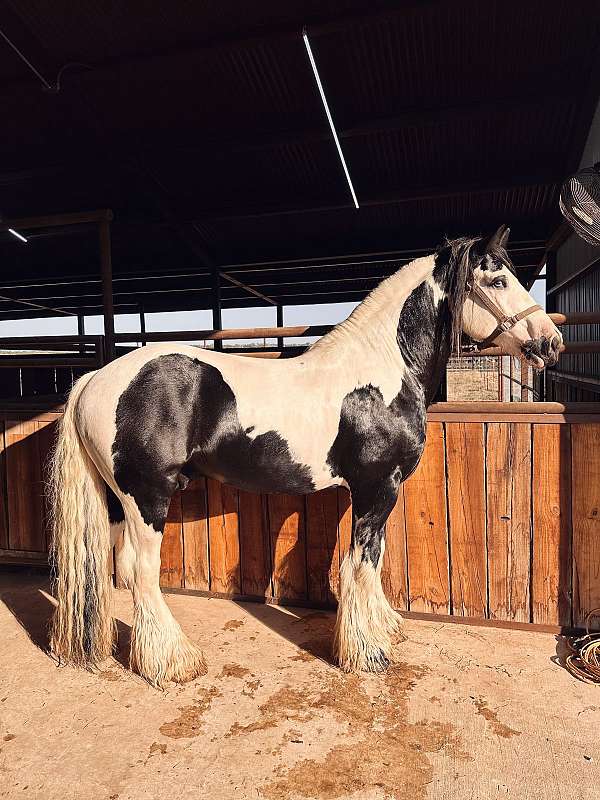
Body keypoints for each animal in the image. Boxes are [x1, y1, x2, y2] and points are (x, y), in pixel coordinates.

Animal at [49, 222, 560, 684]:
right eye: (497, 281)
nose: (550, 342)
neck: (380, 373)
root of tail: (96, 379)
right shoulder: (376, 488)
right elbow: (359, 564)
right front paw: (366, 652)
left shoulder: (374, 492)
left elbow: (373, 558)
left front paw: (383, 627)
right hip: (147, 498)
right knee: (140, 570)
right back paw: (173, 662)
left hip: (120, 501)